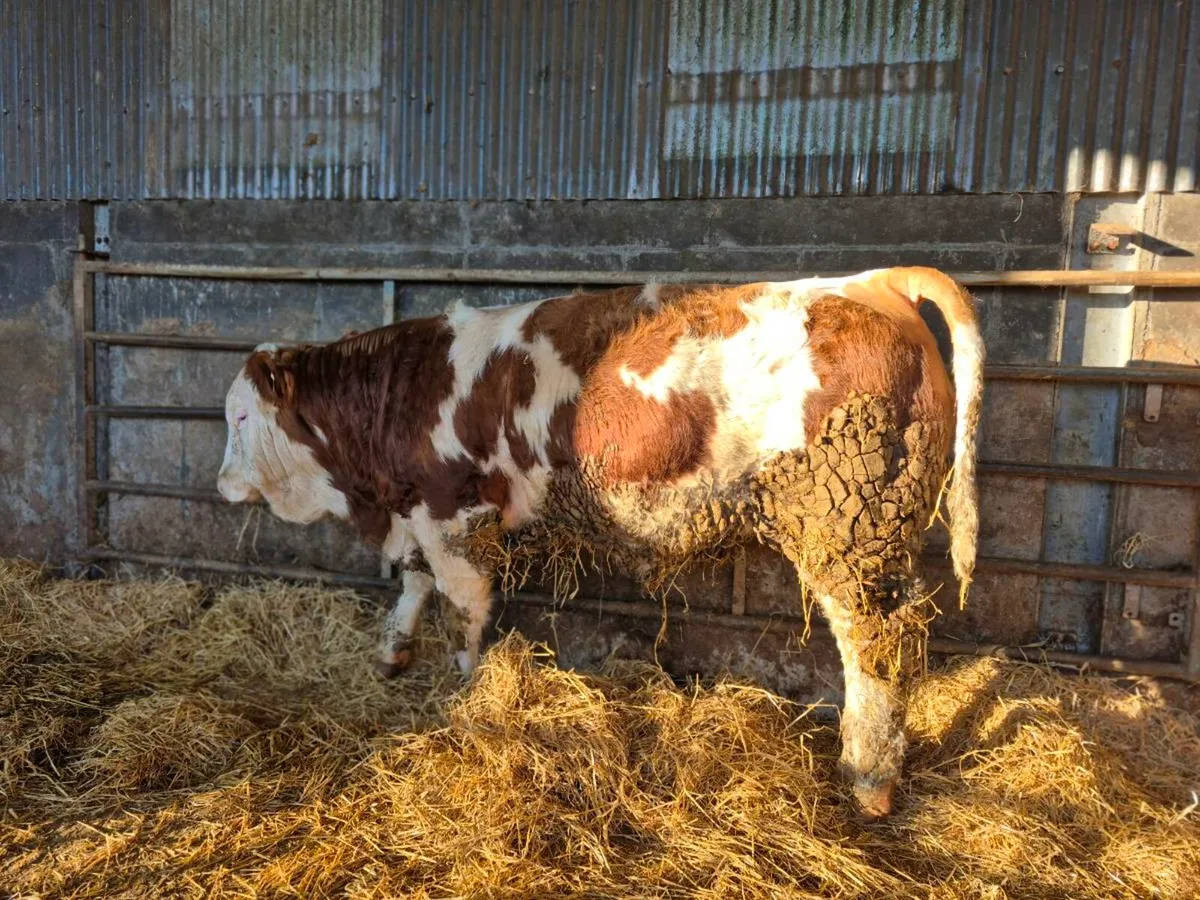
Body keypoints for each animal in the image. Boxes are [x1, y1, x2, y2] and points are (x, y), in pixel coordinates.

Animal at [217, 267, 983, 818]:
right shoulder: (419, 515)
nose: (221, 485)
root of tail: (872, 280)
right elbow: (412, 582)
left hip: (850, 525)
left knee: (876, 643)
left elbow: (462, 610)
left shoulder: (454, 512)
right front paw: (392, 654)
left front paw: (466, 692)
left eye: (240, 416)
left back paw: (868, 778)